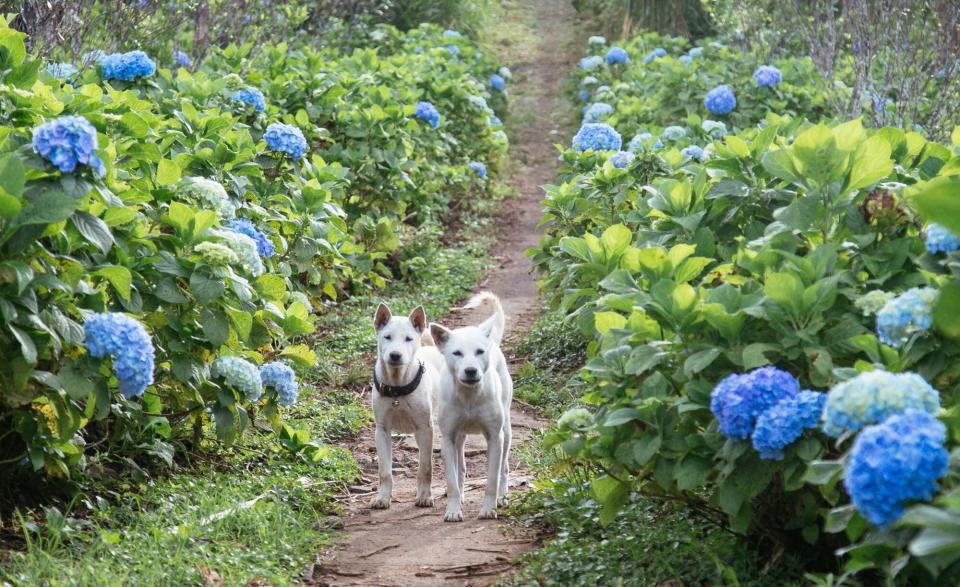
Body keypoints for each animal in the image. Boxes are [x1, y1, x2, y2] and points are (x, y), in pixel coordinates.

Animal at [372, 304, 446, 510]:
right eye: (387, 337)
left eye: (408, 338)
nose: (395, 355)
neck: (397, 388)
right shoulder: (382, 431)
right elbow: (384, 472)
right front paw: (383, 498)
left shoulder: (425, 429)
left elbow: (425, 467)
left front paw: (425, 496)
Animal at [432, 294, 512, 524]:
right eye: (456, 353)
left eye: (479, 352)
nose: (470, 370)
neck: (469, 396)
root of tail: (493, 340)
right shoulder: (447, 438)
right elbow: (451, 479)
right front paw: (453, 510)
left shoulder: (494, 437)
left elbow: (492, 478)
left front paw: (489, 509)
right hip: (459, 436)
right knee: (460, 466)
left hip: (506, 430)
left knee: (504, 467)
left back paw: (502, 497)